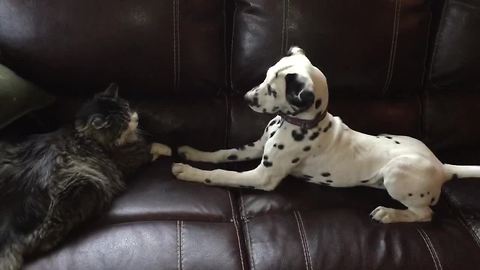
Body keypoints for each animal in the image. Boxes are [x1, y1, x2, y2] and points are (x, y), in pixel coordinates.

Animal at [0, 83, 172, 268]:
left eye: (127, 107)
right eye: (124, 122)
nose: (136, 119)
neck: (86, 135)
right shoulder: (126, 160)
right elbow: (148, 148)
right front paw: (167, 150)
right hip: (85, 186)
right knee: (43, 240)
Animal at [172, 46, 480, 224]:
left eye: (273, 89)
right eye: (266, 76)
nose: (247, 97)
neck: (297, 123)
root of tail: (442, 167)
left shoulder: (263, 176)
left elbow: (221, 174)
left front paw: (188, 171)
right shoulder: (256, 148)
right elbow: (222, 154)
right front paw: (193, 153)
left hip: (397, 174)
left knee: (424, 214)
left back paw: (389, 214)